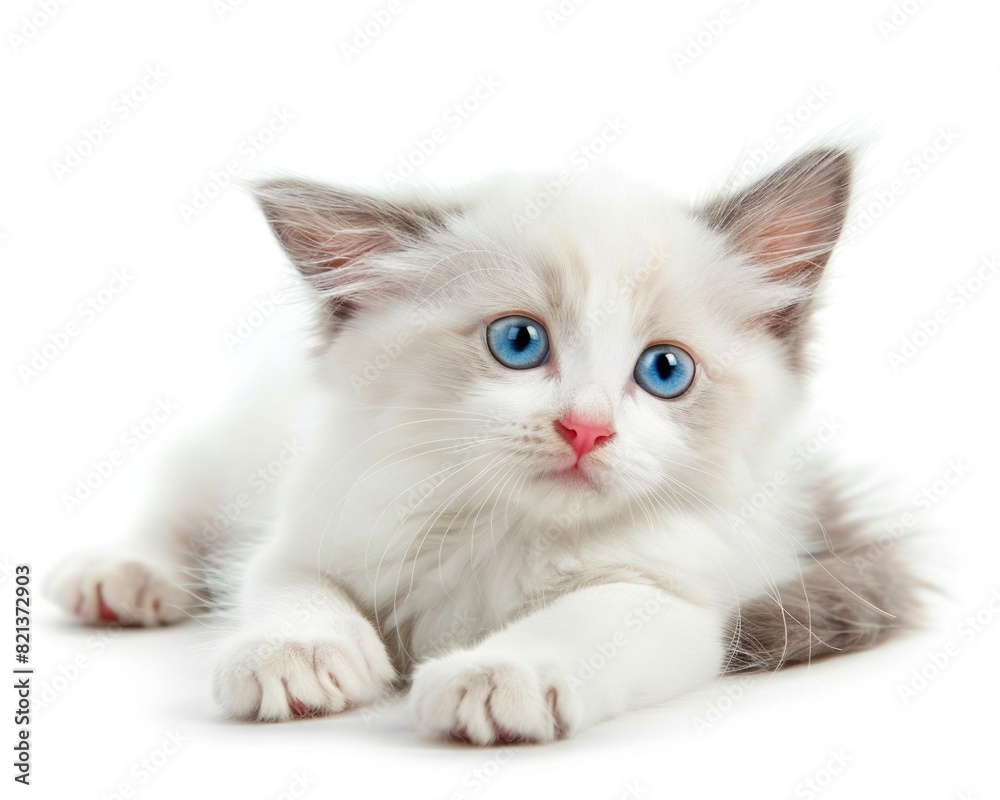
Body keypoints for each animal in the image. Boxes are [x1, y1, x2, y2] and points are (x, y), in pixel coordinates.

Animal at [45, 148, 920, 744]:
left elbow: (584, 620)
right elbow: (289, 589)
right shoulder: (313, 528)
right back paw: (119, 579)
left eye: (665, 370)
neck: (510, 534)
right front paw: (296, 656)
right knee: (176, 513)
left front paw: (500, 675)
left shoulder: (676, 594)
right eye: (518, 342)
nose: (586, 428)